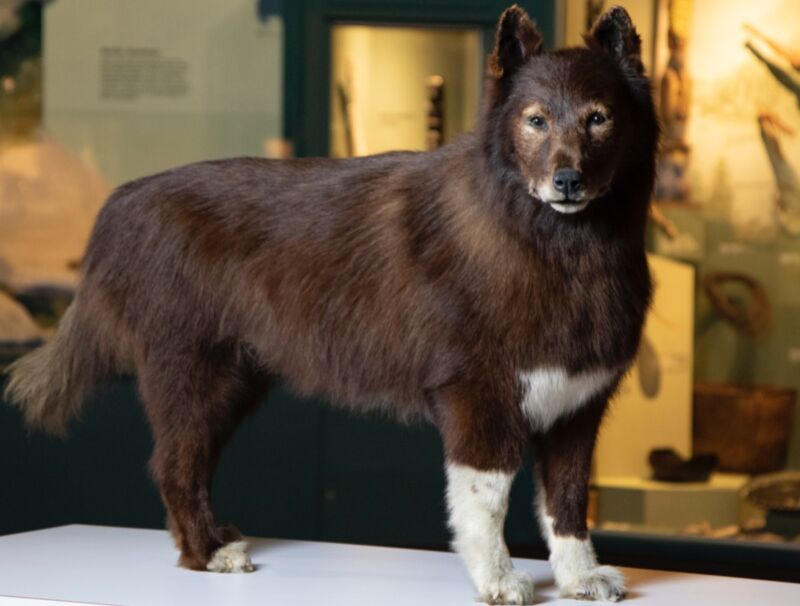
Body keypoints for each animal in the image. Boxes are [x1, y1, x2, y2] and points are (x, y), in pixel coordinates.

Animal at [4, 5, 656, 606]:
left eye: (599, 118)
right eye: (535, 120)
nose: (567, 180)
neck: (556, 247)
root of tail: (122, 203)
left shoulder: (576, 407)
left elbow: (567, 503)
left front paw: (579, 578)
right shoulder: (479, 398)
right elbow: (485, 501)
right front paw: (497, 580)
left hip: (232, 384)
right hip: (191, 377)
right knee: (173, 466)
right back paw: (209, 553)